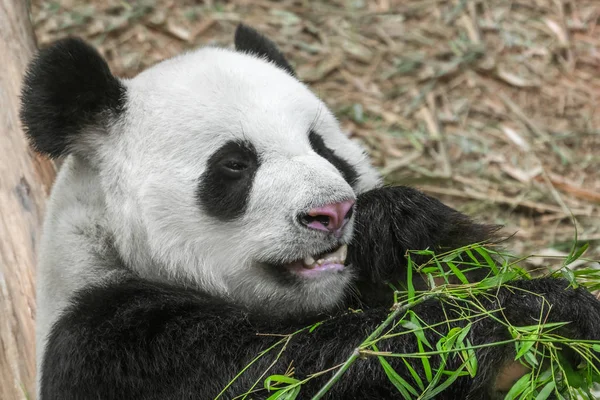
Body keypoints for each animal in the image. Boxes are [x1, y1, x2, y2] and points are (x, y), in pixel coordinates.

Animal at [18, 23, 600, 398]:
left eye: (322, 147)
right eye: (234, 165)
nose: (334, 212)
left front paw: (399, 225)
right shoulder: (120, 345)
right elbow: (315, 371)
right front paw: (534, 308)